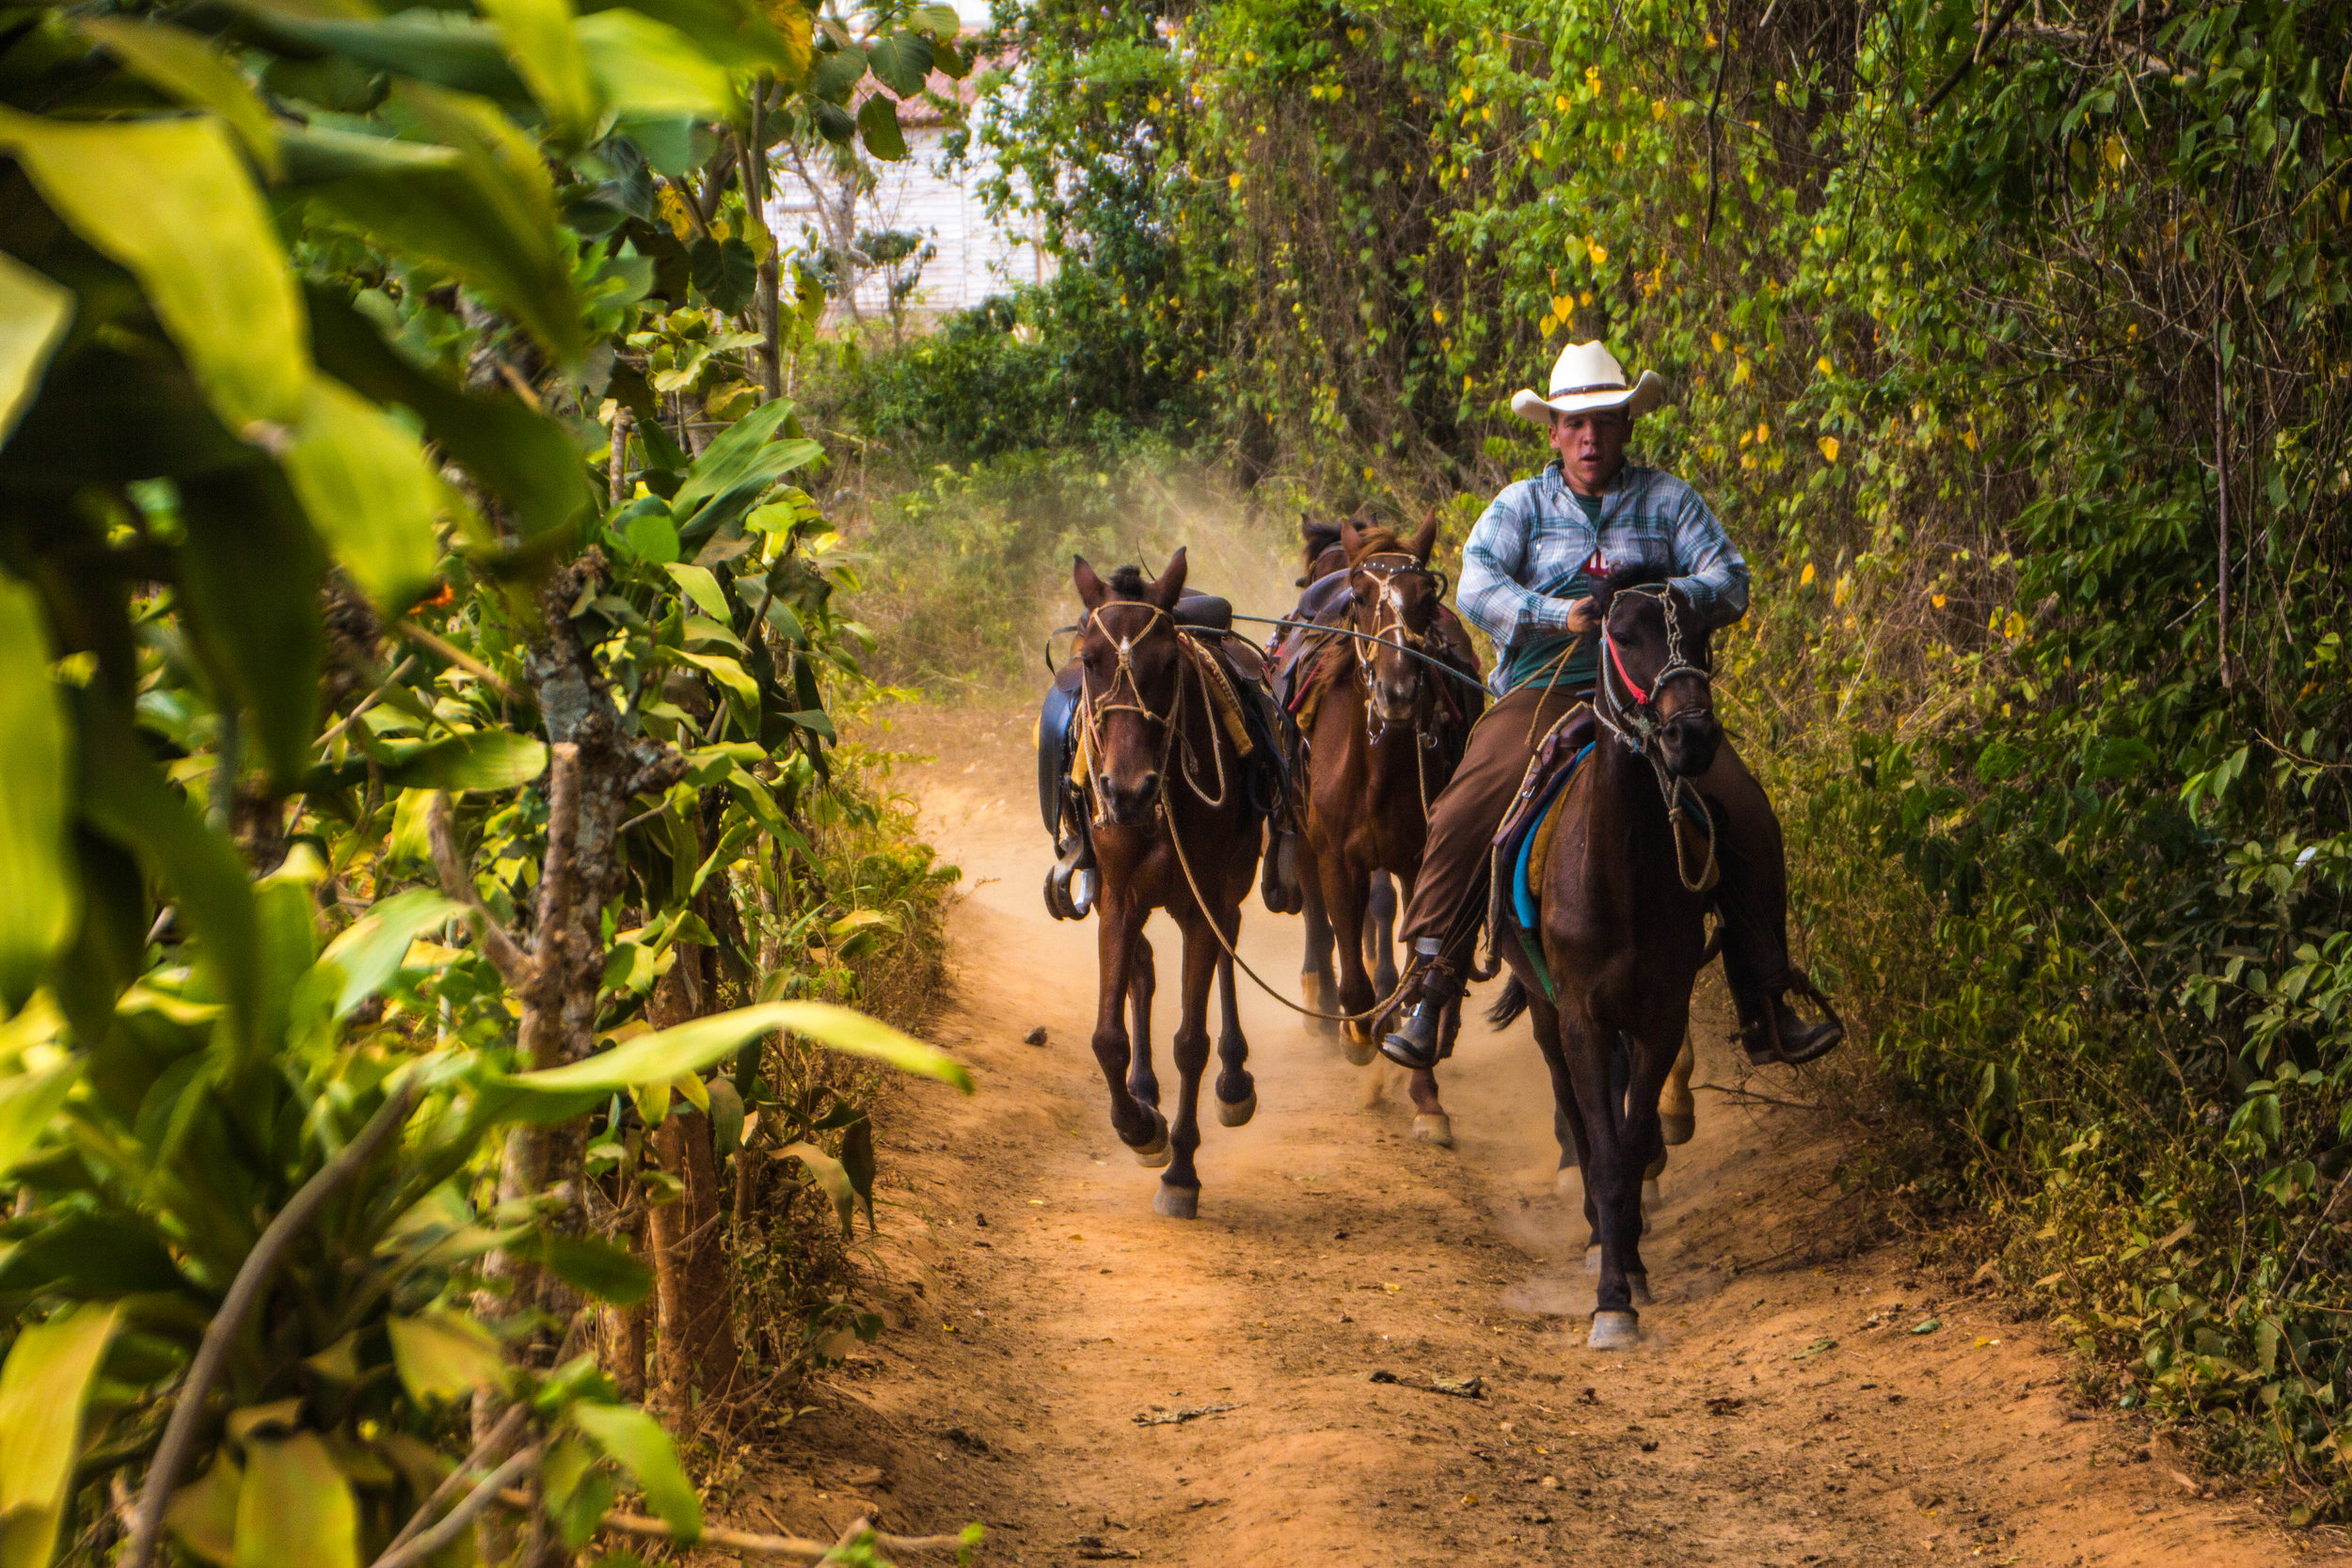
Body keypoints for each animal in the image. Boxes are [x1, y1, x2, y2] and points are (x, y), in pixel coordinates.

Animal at [1077, 552, 1270, 1222]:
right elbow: (1107, 1038)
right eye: (1089, 660)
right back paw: (1145, 1093)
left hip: (1227, 884)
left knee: (1229, 941)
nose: (1125, 791)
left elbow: (1192, 1040)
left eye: (1168, 665)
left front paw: (1182, 1172)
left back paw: (1235, 1081)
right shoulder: (1117, 899)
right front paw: (1139, 1127)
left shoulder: (1202, 903)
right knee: (1143, 969)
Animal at [1289, 521, 1486, 1147]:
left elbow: (1421, 959)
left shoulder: (1424, 860)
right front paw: (1356, 1034)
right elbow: (1349, 955)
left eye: (1425, 597)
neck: (1375, 768)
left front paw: (1426, 1095)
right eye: (1358, 598)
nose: (1397, 691)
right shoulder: (1332, 856)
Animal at [1496, 563, 1722, 1354]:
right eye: (1621, 634)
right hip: (1544, 1014)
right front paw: (1611, 1299)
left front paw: (1632, 1274)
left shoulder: (1659, 1015)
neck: (1619, 872)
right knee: (1572, 1113)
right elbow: (1602, 1151)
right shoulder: (1581, 1018)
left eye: (1703, 628)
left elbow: (1630, 1141)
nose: (1691, 735)